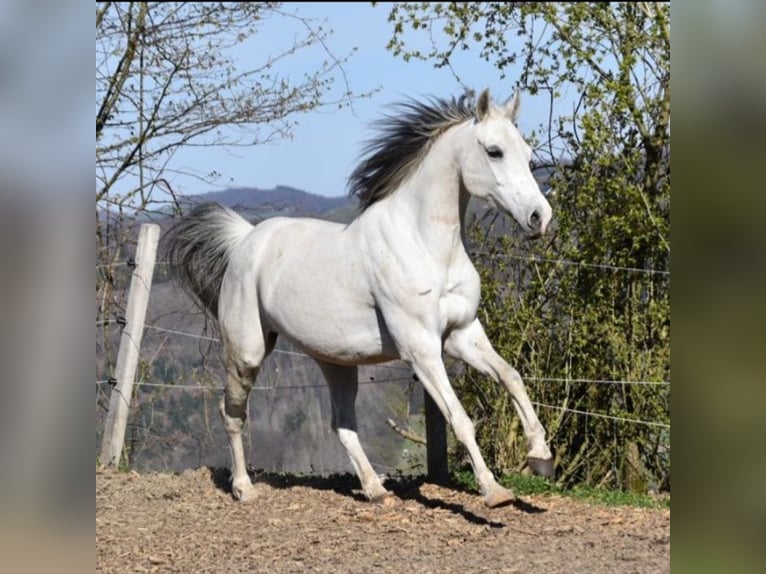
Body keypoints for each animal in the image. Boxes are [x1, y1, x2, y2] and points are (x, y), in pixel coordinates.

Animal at [163, 88, 554, 508]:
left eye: (529, 155)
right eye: (495, 151)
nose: (539, 217)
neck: (427, 245)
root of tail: (245, 240)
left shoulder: (462, 334)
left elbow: (512, 377)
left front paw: (541, 457)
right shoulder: (421, 348)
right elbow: (459, 418)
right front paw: (494, 492)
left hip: (336, 361)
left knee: (341, 424)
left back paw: (376, 490)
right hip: (247, 352)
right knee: (232, 412)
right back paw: (243, 488)